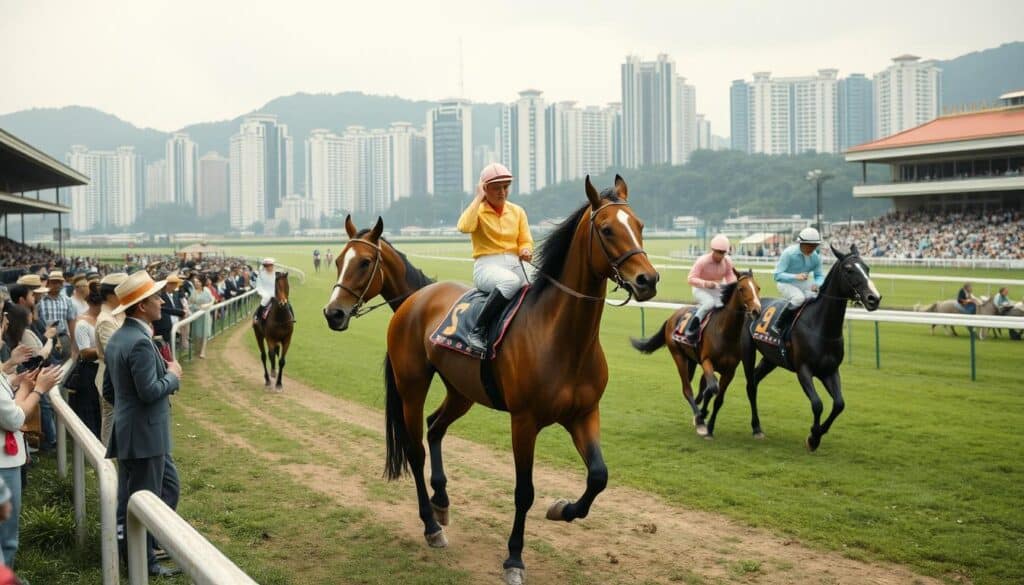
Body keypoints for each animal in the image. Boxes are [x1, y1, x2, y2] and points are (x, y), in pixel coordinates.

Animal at [380, 176, 659, 581]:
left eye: (639, 224)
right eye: (607, 229)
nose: (648, 280)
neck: (562, 338)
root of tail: (413, 299)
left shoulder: (584, 414)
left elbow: (598, 476)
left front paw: (562, 509)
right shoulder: (524, 422)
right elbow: (524, 491)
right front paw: (514, 558)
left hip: (461, 391)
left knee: (435, 427)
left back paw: (442, 502)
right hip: (412, 385)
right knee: (415, 449)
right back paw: (431, 526)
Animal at [626, 270, 765, 438]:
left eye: (758, 287)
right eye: (741, 289)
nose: (756, 310)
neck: (725, 333)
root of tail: (672, 317)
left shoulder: (729, 371)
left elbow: (718, 398)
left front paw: (710, 425)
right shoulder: (706, 361)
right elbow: (712, 388)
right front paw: (703, 418)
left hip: (691, 360)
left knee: (697, 383)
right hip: (678, 355)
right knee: (687, 389)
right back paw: (699, 419)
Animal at [741, 244, 884, 450]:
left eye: (867, 268)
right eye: (849, 270)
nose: (874, 298)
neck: (821, 328)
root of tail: (753, 306)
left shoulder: (830, 371)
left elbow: (839, 404)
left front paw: (817, 434)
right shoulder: (804, 370)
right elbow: (817, 404)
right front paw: (813, 436)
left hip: (770, 359)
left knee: (754, 380)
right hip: (747, 351)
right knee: (750, 384)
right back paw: (756, 427)